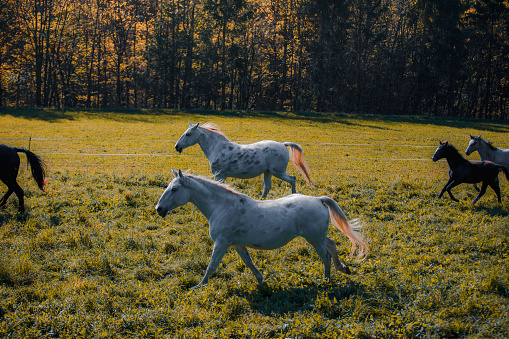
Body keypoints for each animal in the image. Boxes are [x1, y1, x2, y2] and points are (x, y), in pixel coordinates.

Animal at [155, 170, 366, 290]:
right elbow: (248, 262)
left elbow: (212, 266)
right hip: (318, 237)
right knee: (332, 244)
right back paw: (344, 268)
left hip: (313, 238)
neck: (222, 206)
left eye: (174, 189)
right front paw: (261, 281)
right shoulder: (236, 244)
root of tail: (318, 199)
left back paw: (326, 280)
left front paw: (198, 286)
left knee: (326, 256)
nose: (159, 209)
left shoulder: (221, 242)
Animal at [174, 122, 310, 198]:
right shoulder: (222, 175)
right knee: (268, 187)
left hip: (278, 172)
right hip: (268, 172)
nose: (177, 147)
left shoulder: (219, 175)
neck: (217, 148)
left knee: (292, 179)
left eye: (188, 134)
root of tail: (283, 144)